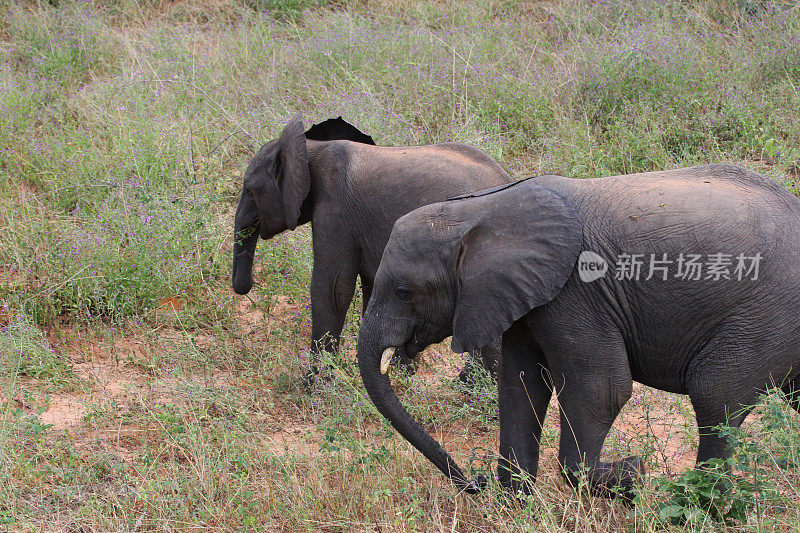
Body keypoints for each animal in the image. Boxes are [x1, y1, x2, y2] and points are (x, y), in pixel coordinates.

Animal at [230, 114, 512, 380]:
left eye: (248, 188)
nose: (246, 287)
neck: (311, 148)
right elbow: (373, 284)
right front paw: (398, 370)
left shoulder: (335, 211)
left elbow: (332, 290)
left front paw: (314, 384)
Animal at [360, 163, 800, 498]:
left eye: (404, 292)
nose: (475, 480)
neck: (481, 208)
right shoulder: (522, 298)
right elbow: (520, 385)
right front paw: (515, 502)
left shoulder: (576, 293)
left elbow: (600, 390)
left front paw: (633, 474)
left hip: (767, 314)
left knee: (714, 393)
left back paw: (703, 504)